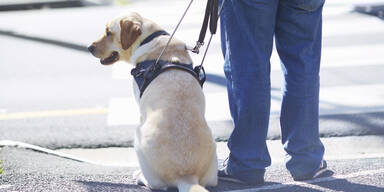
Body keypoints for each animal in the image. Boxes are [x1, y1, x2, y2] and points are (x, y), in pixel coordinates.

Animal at [88, 12, 218, 191]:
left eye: (108, 32)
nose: (89, 47)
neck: (149, 39)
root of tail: (187, 176)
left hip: (137, 138)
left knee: (155, 184)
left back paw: (140, 176)